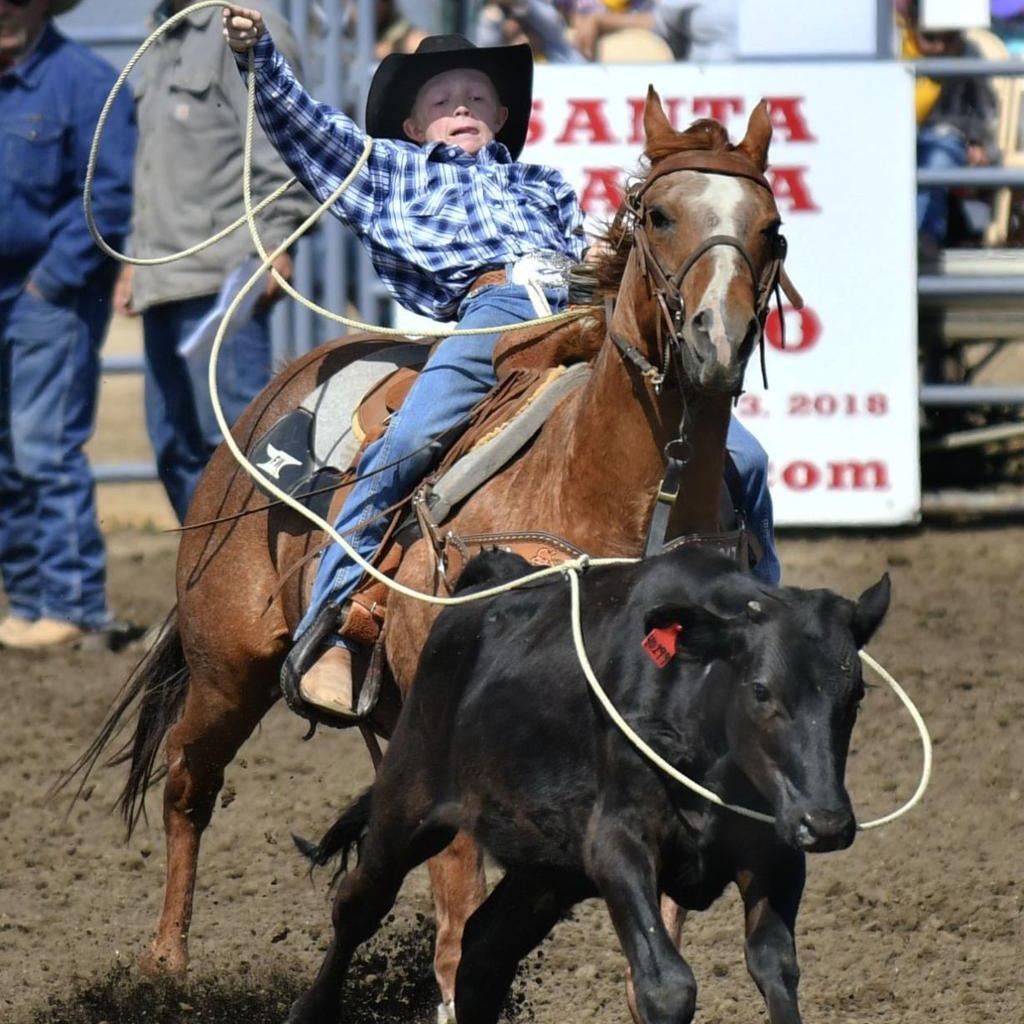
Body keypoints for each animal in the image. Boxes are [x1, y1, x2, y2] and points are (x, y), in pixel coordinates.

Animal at [285, 544, 891, 1024]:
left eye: (856, 692)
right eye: (761, 689)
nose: (827, 823)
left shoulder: (776, 853)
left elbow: (775, 966)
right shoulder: (616, 845)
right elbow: (667, 986)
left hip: (547, 870)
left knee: (483, 952)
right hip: (407, 805)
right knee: (357, 905)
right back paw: (307, 1010)